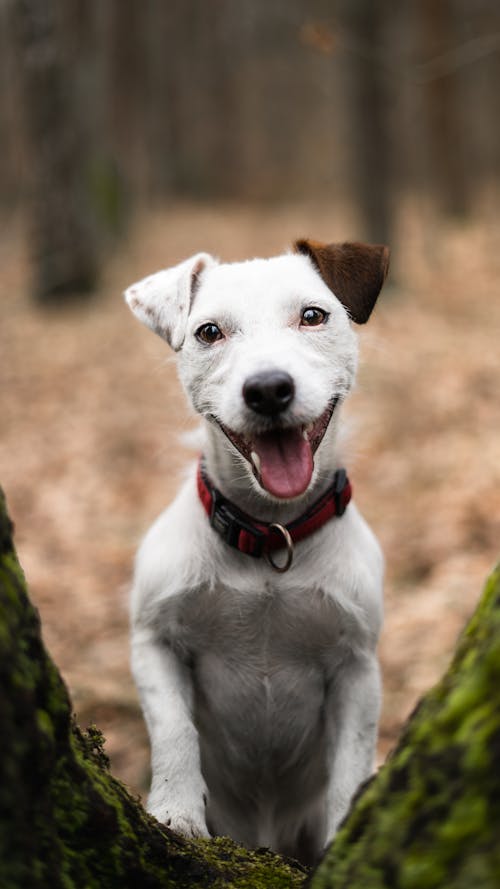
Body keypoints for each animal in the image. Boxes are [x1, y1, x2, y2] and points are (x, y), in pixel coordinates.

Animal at [123, 239, 388, 864]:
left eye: (313, 315)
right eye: (209, 332)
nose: (268, 388)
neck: (271, 536)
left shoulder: (357, 669)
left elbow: (351, 765)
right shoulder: (154, 642)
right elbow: (174, 731)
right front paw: (175, 813)